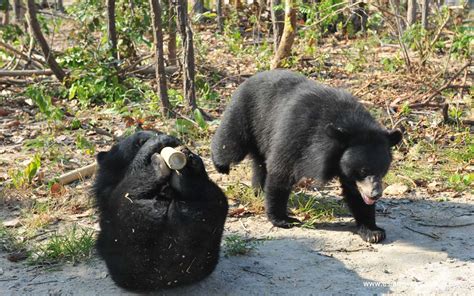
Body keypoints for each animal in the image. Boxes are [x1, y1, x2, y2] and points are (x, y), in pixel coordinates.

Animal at [93, 131, 230, 290]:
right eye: (137, 143)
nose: (171, 140)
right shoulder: (108, 190)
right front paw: (157, 142)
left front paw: (187, 154)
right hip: (123, 219)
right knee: (130, 192)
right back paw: (160, 167)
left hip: (214, 206)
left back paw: (182, 176)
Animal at [211, 69, 400, 243]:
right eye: (362, 171)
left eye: (382, 171)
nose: (375, 194)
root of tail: (253, 76)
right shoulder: (297, 134)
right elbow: (281, 171)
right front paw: (284, 220)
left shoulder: (346, 168)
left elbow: (356, 195)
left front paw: (373, 232)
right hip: (245, 114)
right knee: (230, 144)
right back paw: (220, 165)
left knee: (259, 164)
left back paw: (259, 191)